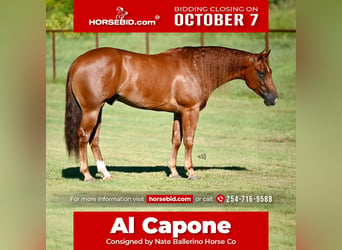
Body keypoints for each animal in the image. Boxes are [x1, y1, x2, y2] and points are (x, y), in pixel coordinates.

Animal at [64, 46, 278, 182]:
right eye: (261, 72)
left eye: (270, 71)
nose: (274, 99)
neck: (195, 68)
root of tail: (77, 62)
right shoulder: (190, 110)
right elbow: (189, 140)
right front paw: (191, 173)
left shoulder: (178, 113)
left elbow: (176, 140)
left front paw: (174, 172)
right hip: (91, 110)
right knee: (83, 136)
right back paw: (87, 175)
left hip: (98, 110)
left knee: (94, 140)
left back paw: (106, 173)